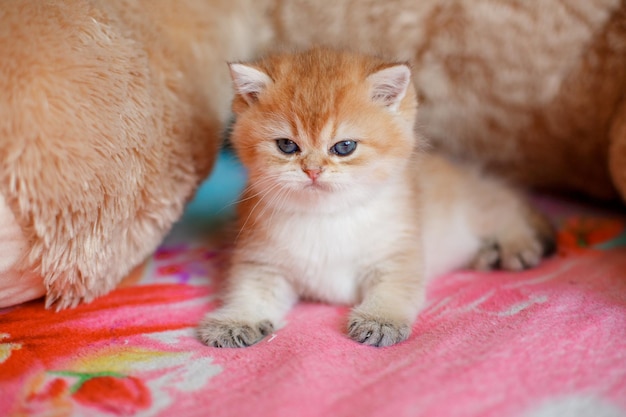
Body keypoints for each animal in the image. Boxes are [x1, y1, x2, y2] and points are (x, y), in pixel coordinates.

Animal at [197, 47, 552, 348]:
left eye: (344, 147)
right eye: (287, 146)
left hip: (474, 206)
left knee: (506, 210)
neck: (326, 217)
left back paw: (516, 245)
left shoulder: (397, 252)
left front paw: (380, 319)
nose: (313, 170)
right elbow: (249, 291)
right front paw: (235, 319)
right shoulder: (262, 260)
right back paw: (485, 255)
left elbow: (395, 288)